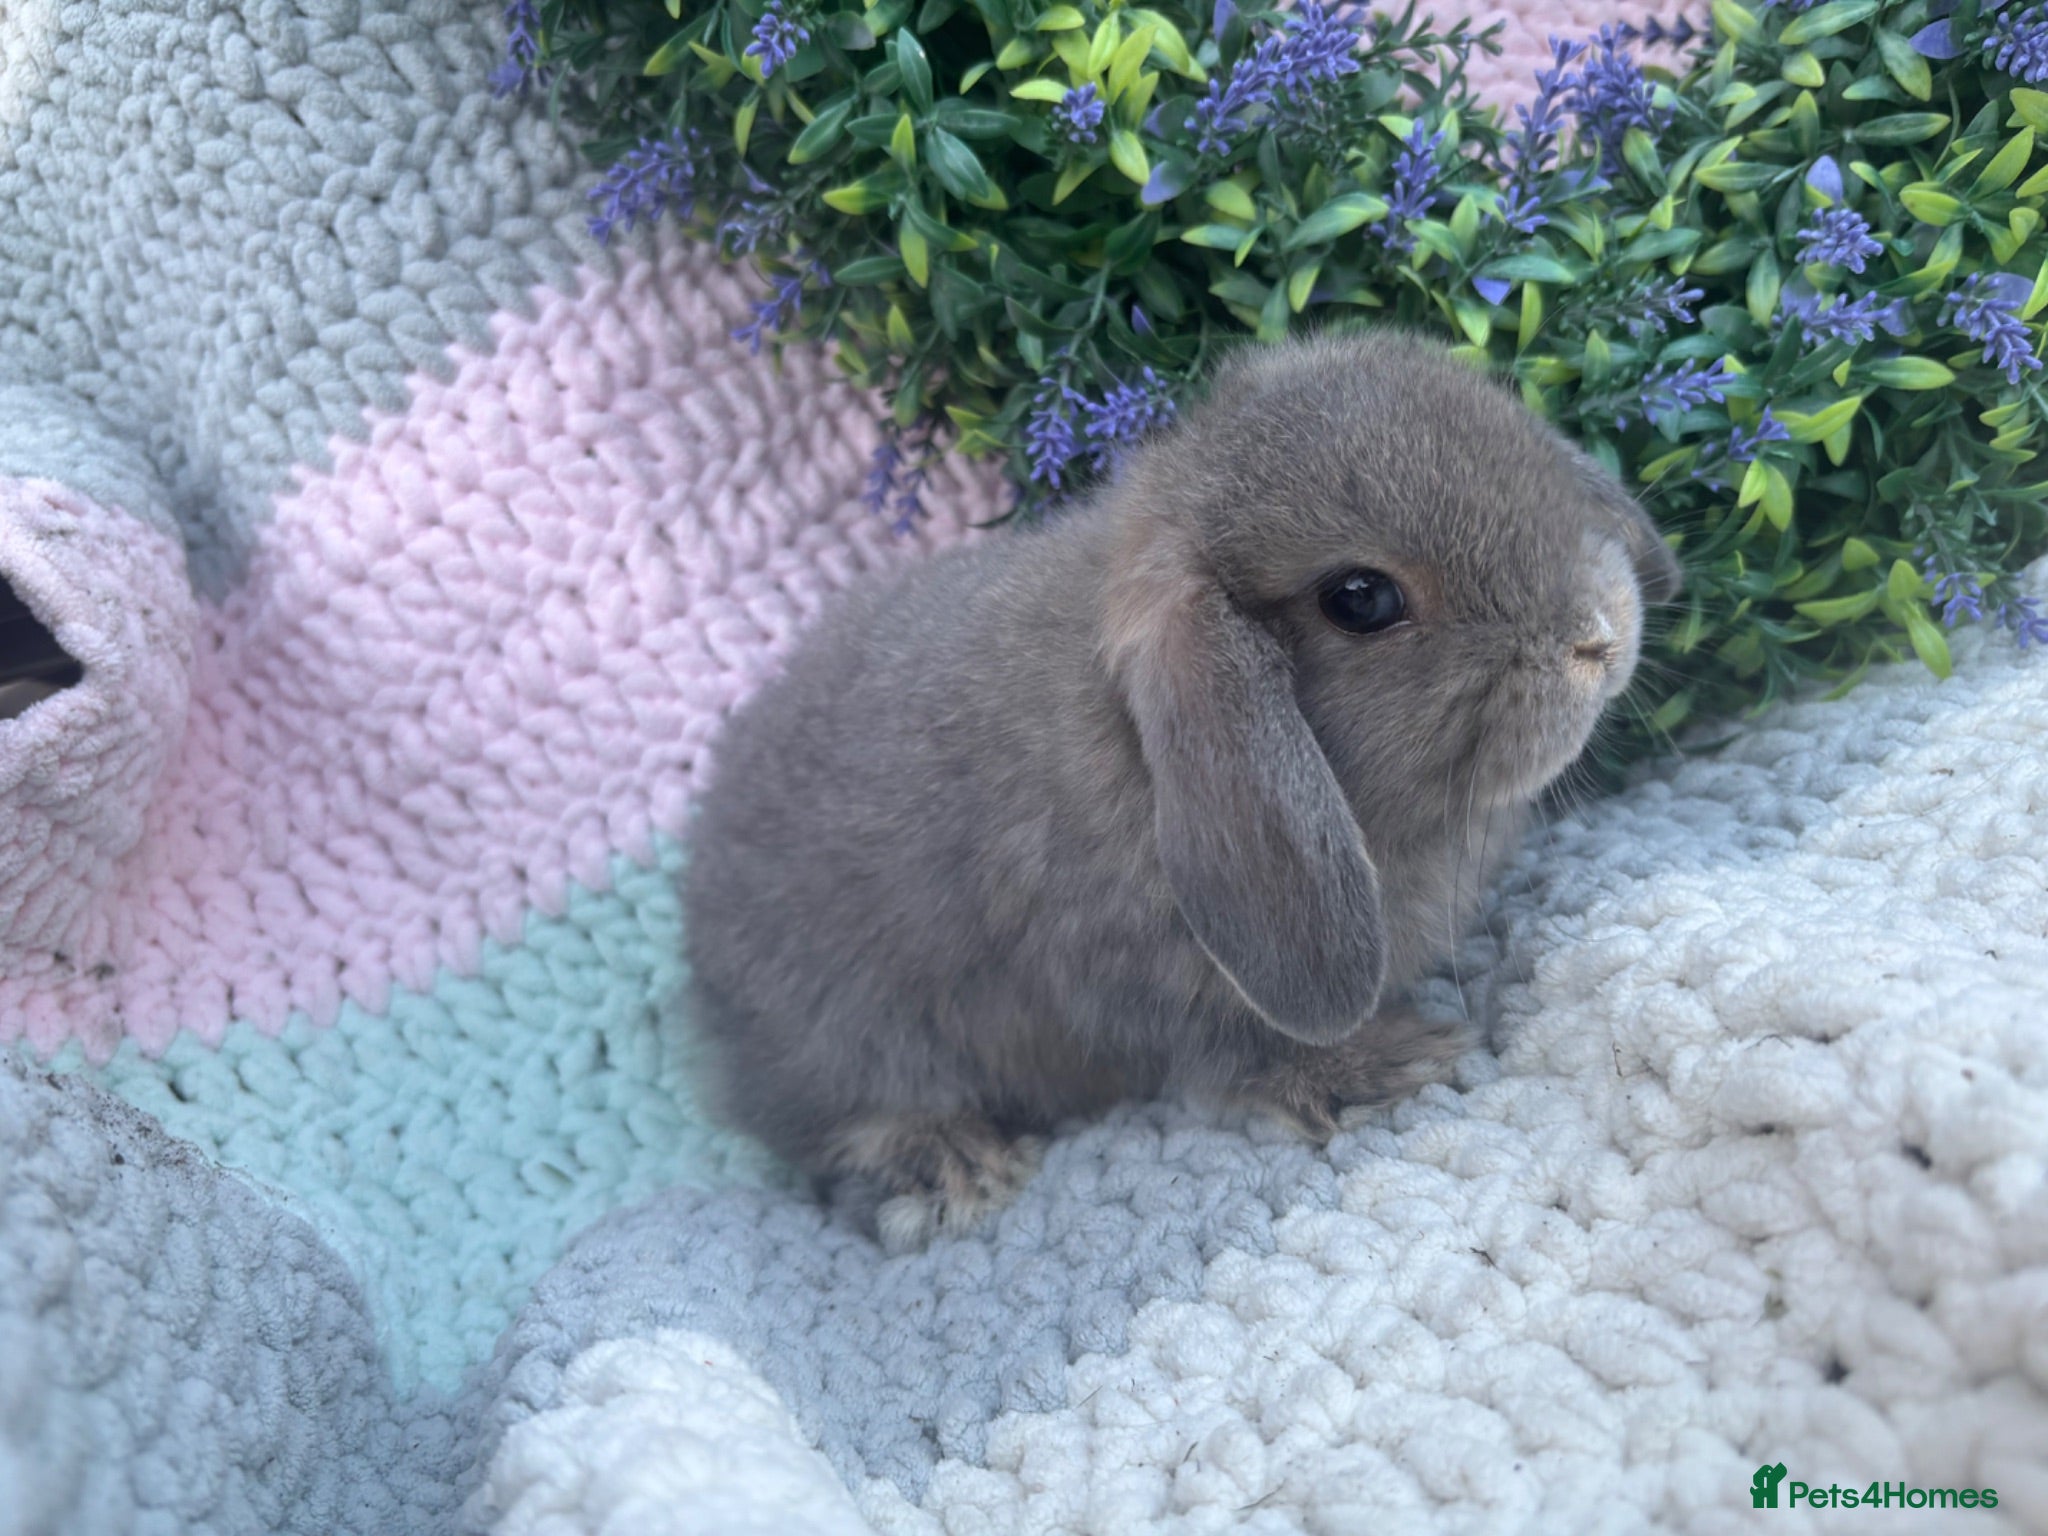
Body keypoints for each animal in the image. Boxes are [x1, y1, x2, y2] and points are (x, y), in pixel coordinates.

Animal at [682, 329, 1682, 1248]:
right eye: (1361, 599)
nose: (1599, 635)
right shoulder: (1147, 993)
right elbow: (1246, 1055)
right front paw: (1398, 1061)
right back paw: (956, 1162)